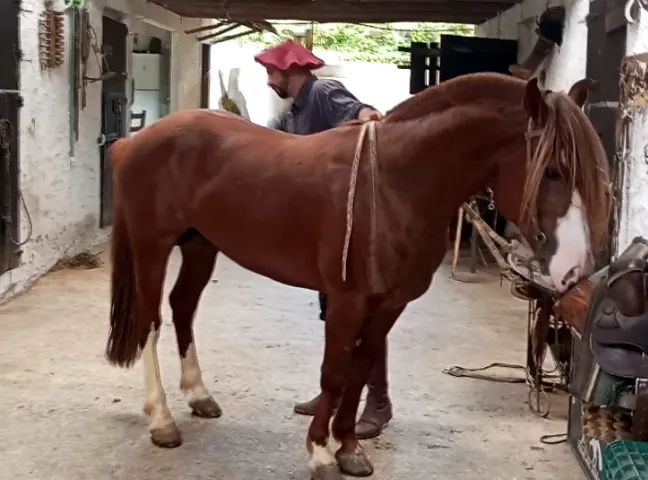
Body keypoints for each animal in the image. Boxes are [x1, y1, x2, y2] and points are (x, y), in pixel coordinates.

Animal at [104, 72, 611, 480]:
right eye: (552, 170)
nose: (574, 270)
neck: (393, 185)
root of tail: (134, 142)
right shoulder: (348, 300)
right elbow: (334, 373)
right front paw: (319, 453)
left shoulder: (388, 303)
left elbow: (361, 368)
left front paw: (349, 448)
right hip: (153, 247)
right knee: (150, 321)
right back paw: (162, 420)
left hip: (199, 245)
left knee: (182, 308)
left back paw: (199, 396)